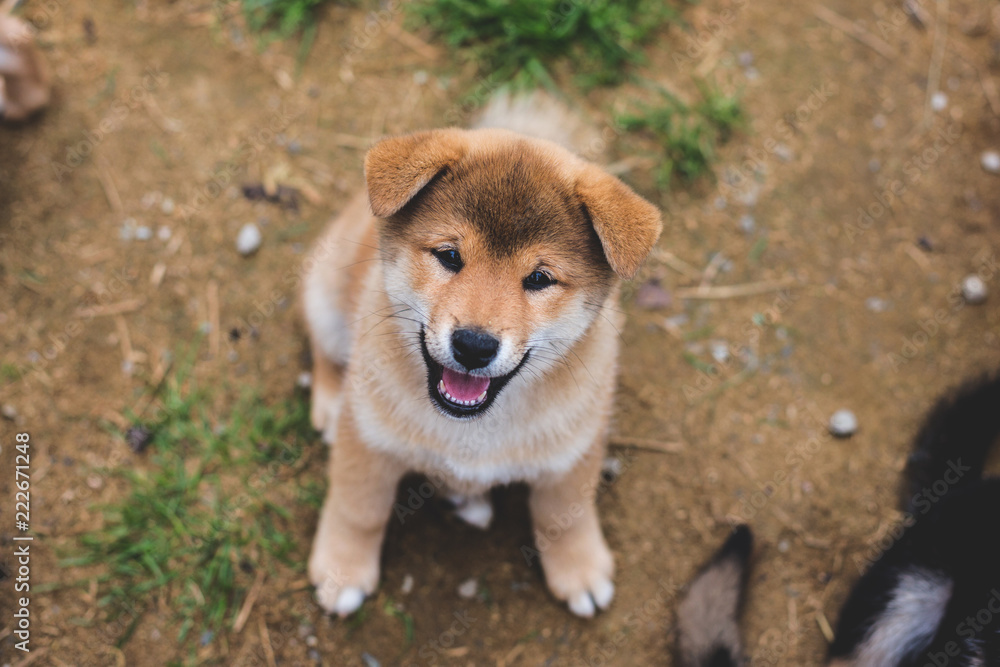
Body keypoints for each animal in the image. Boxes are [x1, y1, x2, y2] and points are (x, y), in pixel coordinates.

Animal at [304, 96, 664, 620]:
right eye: (449, 256)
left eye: (539, 279)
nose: (473, 345)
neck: (474, 431)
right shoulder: (368, 442)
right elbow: (359, 511)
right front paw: (342, 570)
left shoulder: (572, 452)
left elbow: (564, 517)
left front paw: (578, 569)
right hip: (325, 298)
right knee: (324, 352)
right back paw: (332, 403)